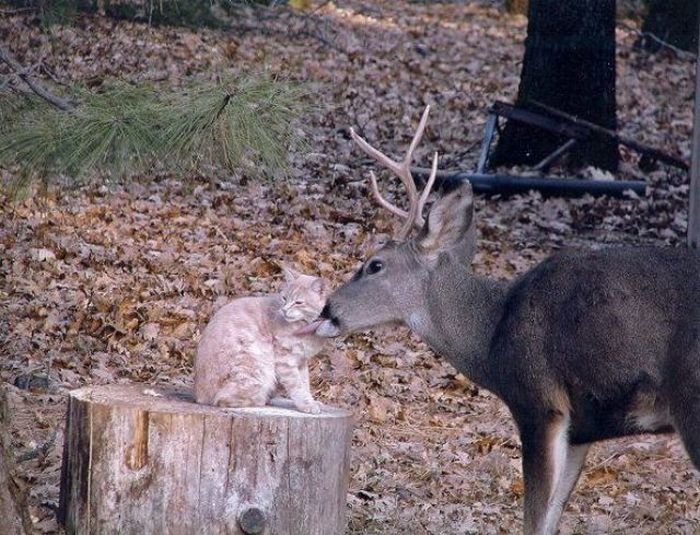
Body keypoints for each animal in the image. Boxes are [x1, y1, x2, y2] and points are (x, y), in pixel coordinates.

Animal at [194, 268, 328, 414]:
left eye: (298, 302)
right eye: (284, 298)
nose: (284, 310)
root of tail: (200, 395)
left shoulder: (301, 361)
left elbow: (305, 383)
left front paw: (311, 401)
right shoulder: (285, 361)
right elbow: (297, 386)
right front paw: (306, 404)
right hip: (255, 366)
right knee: (222, 399)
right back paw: (260, 399)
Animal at [314, 107, 700, 532]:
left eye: (375, 264)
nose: (327, 309)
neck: (492, 335)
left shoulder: (539, 403)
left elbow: (534, 520)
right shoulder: (582, 429)